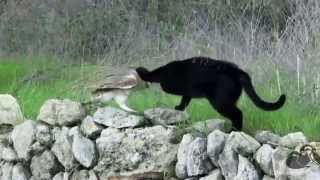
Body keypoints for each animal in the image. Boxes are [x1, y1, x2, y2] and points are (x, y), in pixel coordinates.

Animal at [136, 56, 286, 131]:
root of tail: (237, 71)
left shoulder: (168, 79)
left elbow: (155, 74)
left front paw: (141, 71)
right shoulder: (187, 91)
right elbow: (185, 99)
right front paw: (179, 108)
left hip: (220, 102)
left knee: (238, 114)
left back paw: (234, 130)